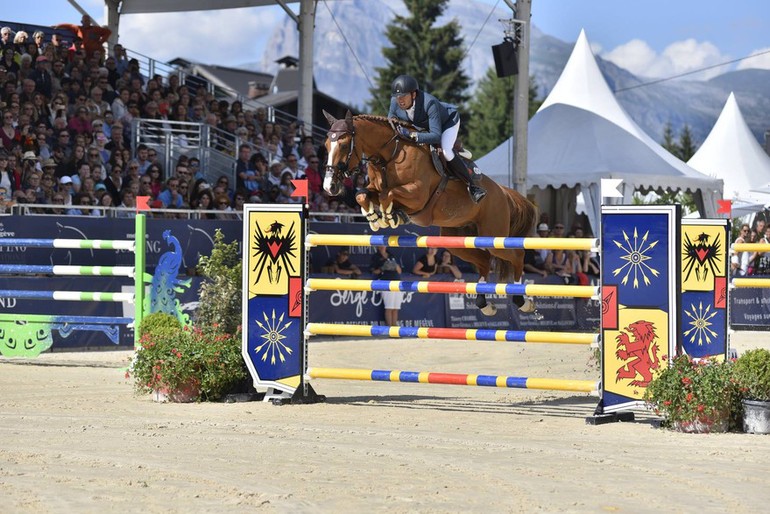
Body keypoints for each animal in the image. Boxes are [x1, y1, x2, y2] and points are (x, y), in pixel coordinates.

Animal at [320, 110, 536, 314]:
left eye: (344, 145)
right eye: (326, 145)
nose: (329, 187)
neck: (390, 155)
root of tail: (504, 191)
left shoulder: (417, 195)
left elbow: (387, 194)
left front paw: (391, 216)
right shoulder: (374, 188)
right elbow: (362, 195)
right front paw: (375, 218)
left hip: (494, 235)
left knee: (516, 255)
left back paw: (522, 300)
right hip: (456, 239)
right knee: (484, 261)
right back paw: (484, 304)